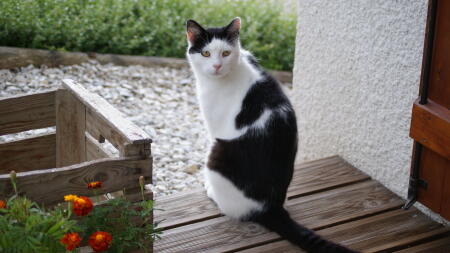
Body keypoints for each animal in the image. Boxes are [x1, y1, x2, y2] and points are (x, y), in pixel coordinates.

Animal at [186, 17, 358, 253]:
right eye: (205, 53)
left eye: (226, 53)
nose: (217, 66)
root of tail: (271, 207)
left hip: (217, 151)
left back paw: (212, 192)